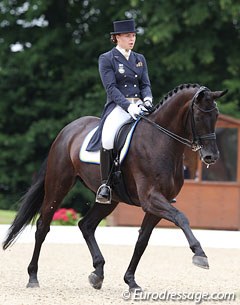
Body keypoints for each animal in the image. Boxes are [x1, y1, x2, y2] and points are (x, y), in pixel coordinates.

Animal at [1, 82, 227, 290]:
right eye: (198, 116)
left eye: (216, 115)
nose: (211, 157)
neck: (160, 141)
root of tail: (67, 130)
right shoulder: (151, 198)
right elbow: (181, 217)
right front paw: (200, 254)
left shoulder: (158, 204)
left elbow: (142, 240)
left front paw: (131, 281)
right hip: (59, 185)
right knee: (43, 226)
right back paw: (33, 277)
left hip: (110, 199)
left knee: (86, 225)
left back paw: (98, 273)